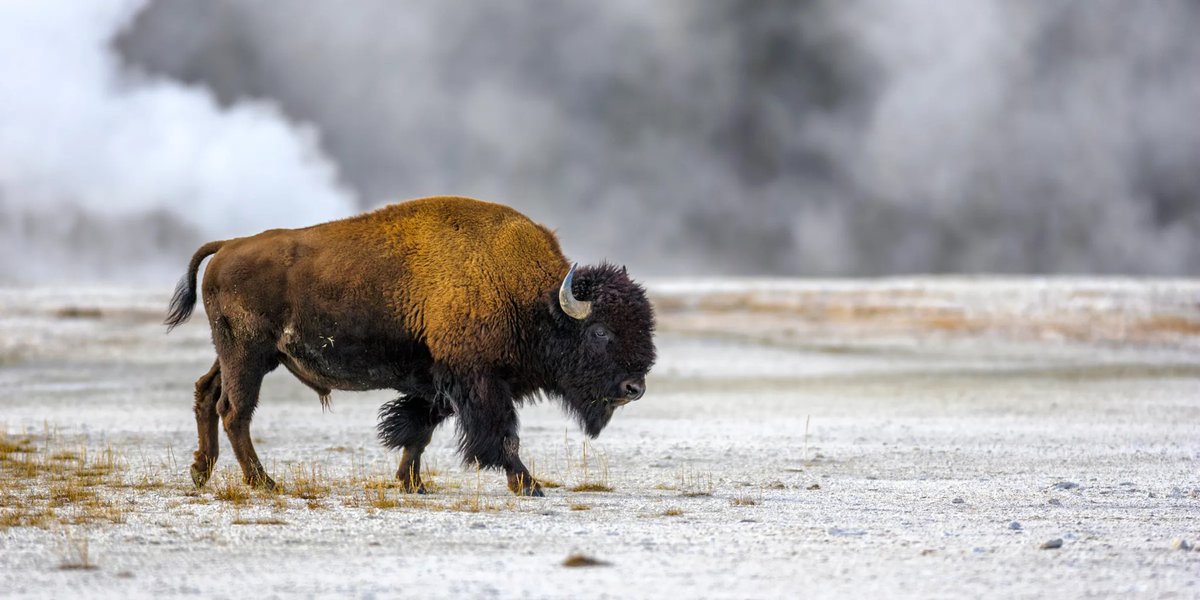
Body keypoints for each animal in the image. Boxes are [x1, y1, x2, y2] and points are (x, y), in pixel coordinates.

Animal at [165, 196, 655, 496]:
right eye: (600, 331)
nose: (635, 388)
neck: (529, 297)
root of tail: (228, 245)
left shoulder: (436, 382)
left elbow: (418, 432)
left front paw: (411, 483)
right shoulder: (477, 382)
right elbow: (502, 436)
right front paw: (529, 484)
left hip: (240, 355)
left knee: (206, 393)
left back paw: (201, 471)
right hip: (247, 355)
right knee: (235, 411)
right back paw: (263, 482)